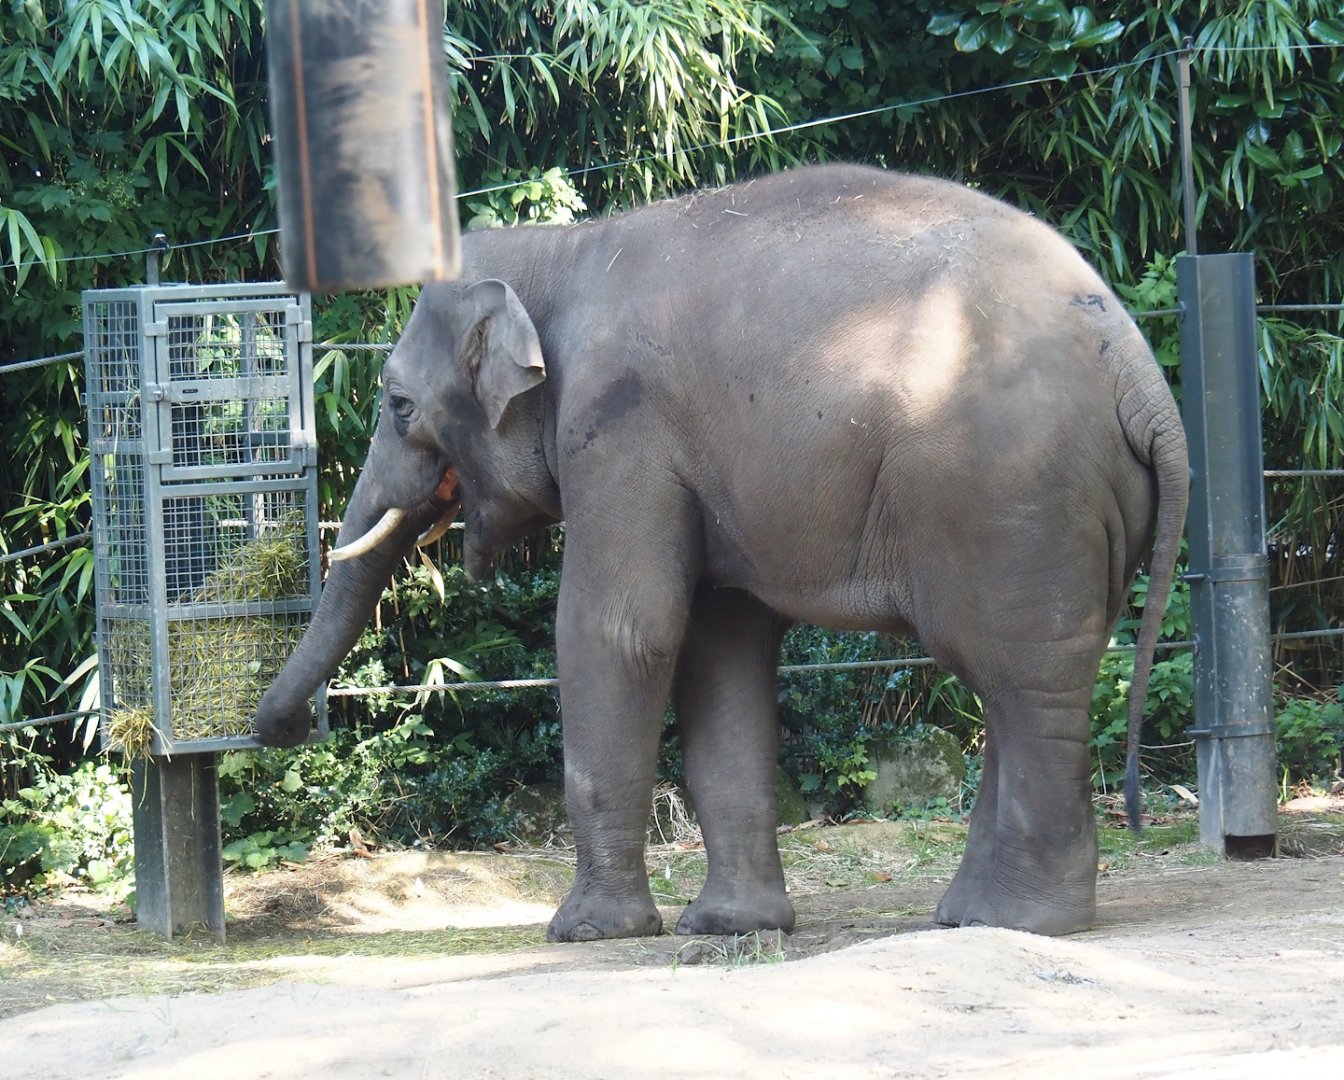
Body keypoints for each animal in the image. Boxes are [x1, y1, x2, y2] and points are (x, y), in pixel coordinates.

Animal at [255, 163, 1188, 943]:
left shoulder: (622, 429)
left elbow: (618, 633)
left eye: (397, 406)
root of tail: (1140, 375)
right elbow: (719, 653)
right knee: (1016, 678)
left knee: (1018, 675)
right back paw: (969, 915)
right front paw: (734, 928)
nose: (284, 730)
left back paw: (1022, 923)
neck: (561, 250)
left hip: (1009, 495)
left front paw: (588, 933)